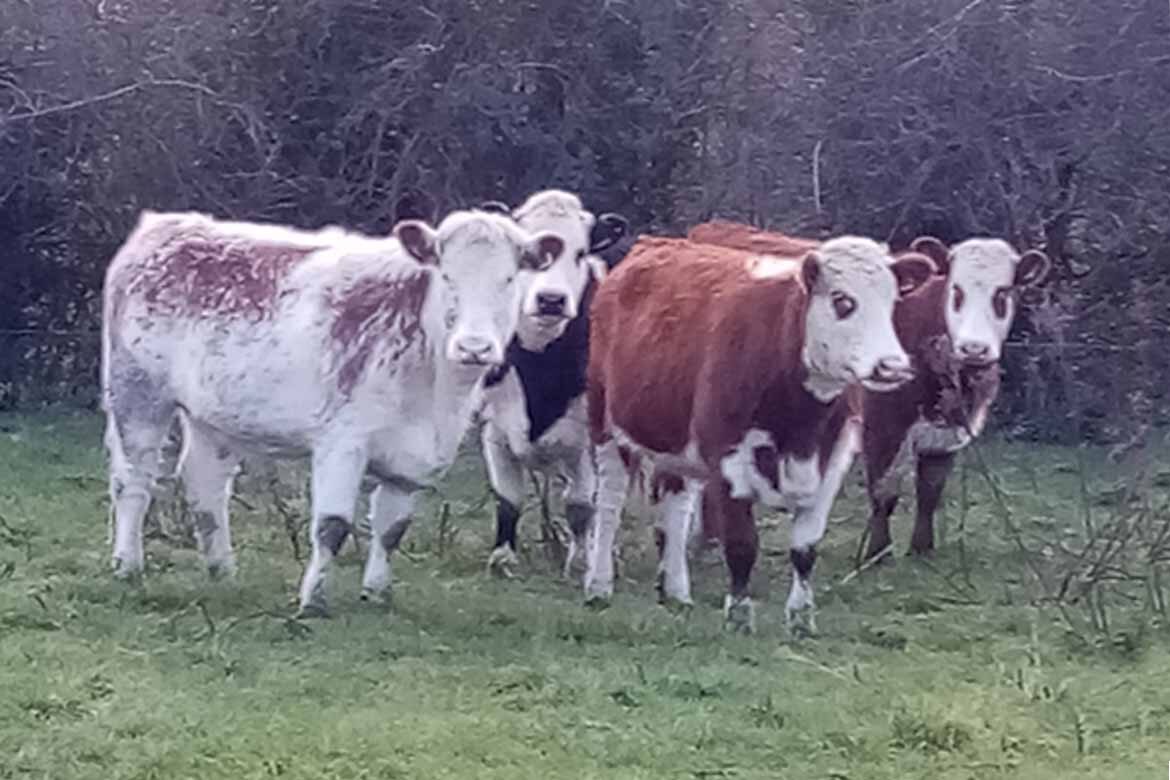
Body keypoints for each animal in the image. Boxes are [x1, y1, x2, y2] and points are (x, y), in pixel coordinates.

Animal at [100, 206, 566, 617]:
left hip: (212, 415)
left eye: (509, 279)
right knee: (134, 481)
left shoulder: (414, 458)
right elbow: (333, 525)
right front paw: (314, 601)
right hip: (137, 393)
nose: (474, 347)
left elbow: (392, 529)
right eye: (447, 276)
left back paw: (222, 570)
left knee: (205, 485)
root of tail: (167, 225)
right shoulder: (343, 442)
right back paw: (127, 566)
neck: (435, 388)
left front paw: (377, 595)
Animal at [472, 191, 631, 577]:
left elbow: (580, 505)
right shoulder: (494, 428)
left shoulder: (588, 438)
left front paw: (581, 562)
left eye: (581, 252)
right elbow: (508, 498)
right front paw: (502, 557)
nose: (551, 300)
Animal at [585, 235, 931, 631]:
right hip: (604, 423)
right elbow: (741, 544)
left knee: (676, 506)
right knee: (609, 505)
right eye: (842, 301)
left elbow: (805, 549)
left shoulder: (833, 460)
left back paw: (677, 593)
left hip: (676, 441)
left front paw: (801, 619)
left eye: (893, 302)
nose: (893, 366)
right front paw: (739, 616)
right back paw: (598, 587)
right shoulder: (726, 456)